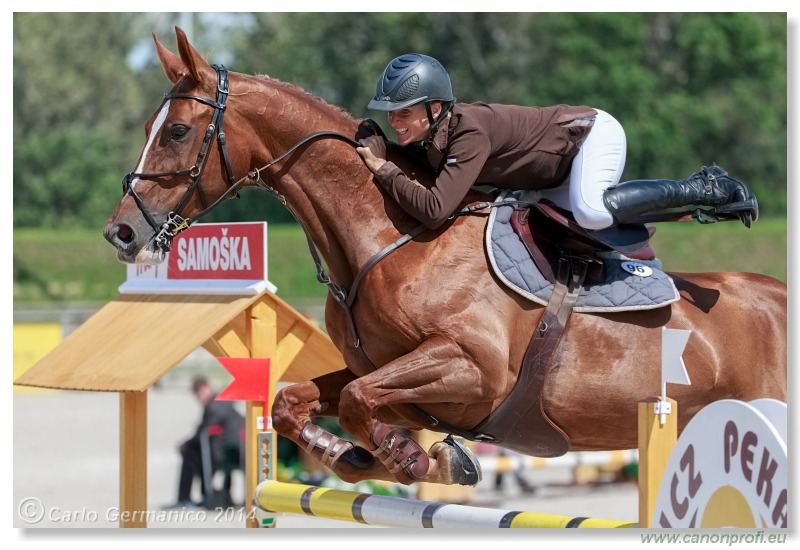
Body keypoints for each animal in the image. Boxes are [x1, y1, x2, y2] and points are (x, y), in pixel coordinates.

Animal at [101, 28, 788, 490]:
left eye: (178, 132)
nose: (121, 233)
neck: (387, 241)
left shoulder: (470, 370)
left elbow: (361, 403)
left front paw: (418, 458)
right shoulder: (378, 369)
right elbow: (297, 401)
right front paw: (361, 456)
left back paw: (723, 191)